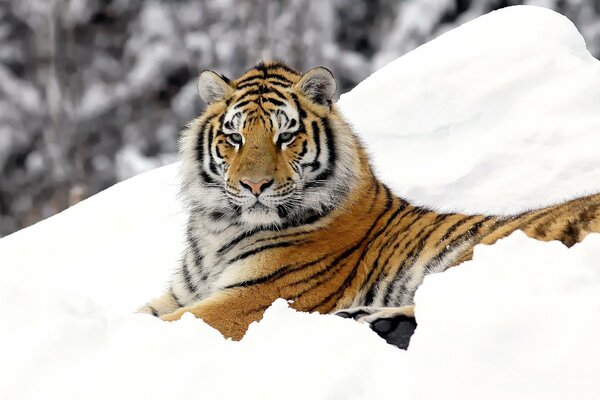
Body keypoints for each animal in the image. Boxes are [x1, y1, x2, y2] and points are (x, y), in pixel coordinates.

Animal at [139, 61, 600, 348]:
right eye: (234, 138)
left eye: (285, 136)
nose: (254, 185)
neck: (219, 228)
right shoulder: (179, 294)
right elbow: (138, 316)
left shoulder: (254, 297)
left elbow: (162, 326)